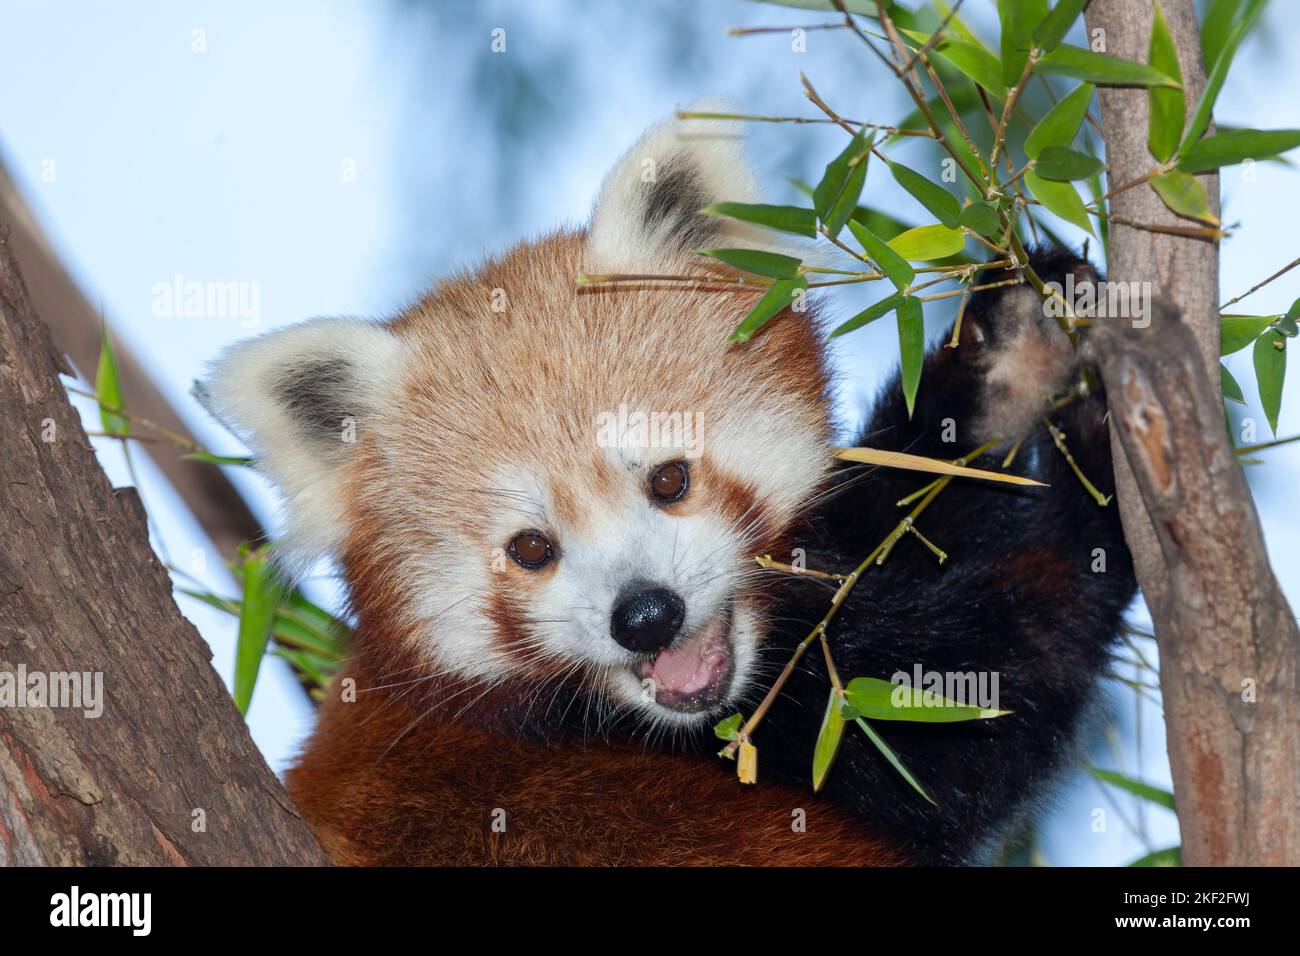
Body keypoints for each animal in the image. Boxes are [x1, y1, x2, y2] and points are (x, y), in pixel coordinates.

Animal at [197, 111, 1133, 868]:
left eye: (670, 478)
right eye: (531, 548)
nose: (646, 616)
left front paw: (1007, 345)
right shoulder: (783, 742)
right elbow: (985, 698)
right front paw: (1100, 493)